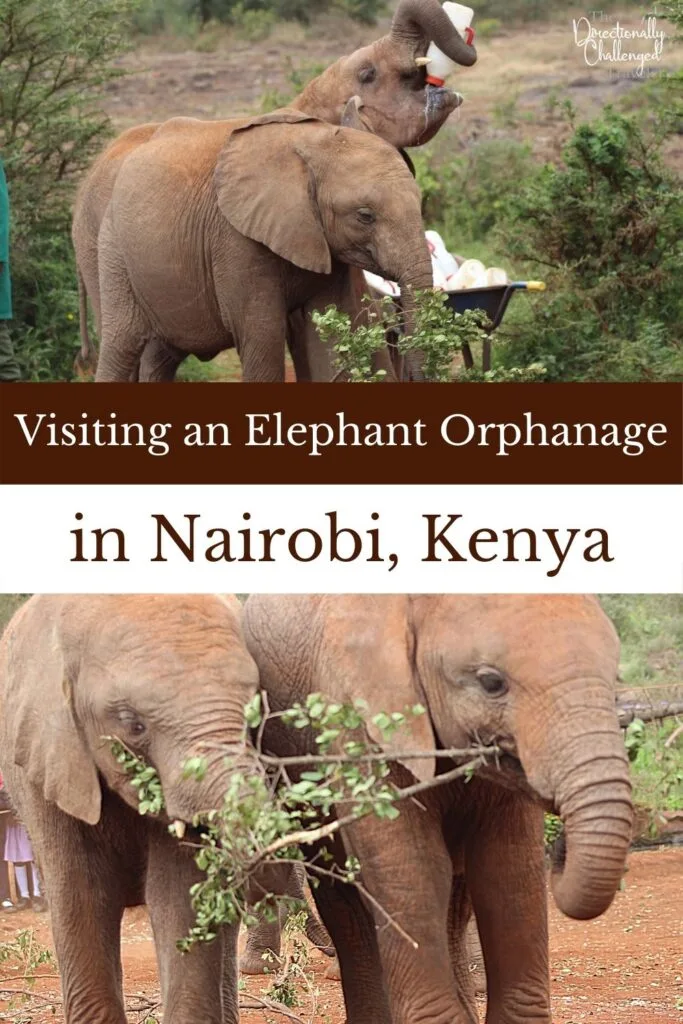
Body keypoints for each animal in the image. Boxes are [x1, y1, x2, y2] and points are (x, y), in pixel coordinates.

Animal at [92, 106, 432, 383]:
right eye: (365, 216)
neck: (311, 142)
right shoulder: (235, 239)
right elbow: (262, 334)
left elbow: (336, 332)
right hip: (113, 247)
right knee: (121, 343)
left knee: (162, 355)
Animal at [242, 595, 633, 1024]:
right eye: (491, 682)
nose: (563, 848)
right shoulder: (357, 719)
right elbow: (413, 867)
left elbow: (507, 867)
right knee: (346, 900)